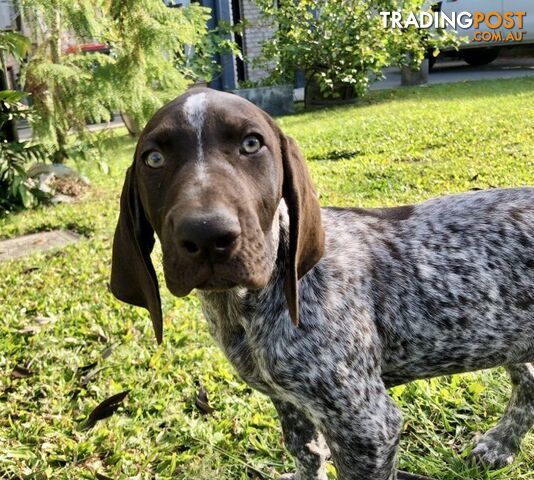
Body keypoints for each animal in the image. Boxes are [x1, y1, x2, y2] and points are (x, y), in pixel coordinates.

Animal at [111, 87, 532, 480]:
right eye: (154, 159)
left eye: (251, 144)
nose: (207, 235)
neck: (246, 306)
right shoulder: (288, 400)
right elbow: (306, 453)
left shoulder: (367, 427)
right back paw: (501, 443)